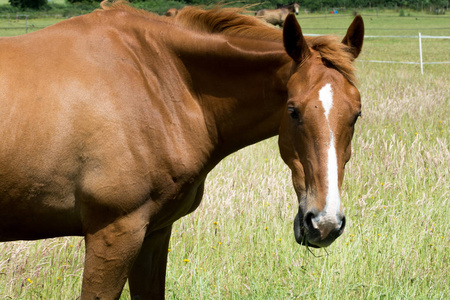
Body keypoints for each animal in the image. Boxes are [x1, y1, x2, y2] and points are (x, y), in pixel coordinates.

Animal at [0, 0, 366, 298]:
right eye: (293, 110)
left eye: (356, 114)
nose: (325, 223)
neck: (156, 81)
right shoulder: (113, 234)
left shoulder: (154, 233)